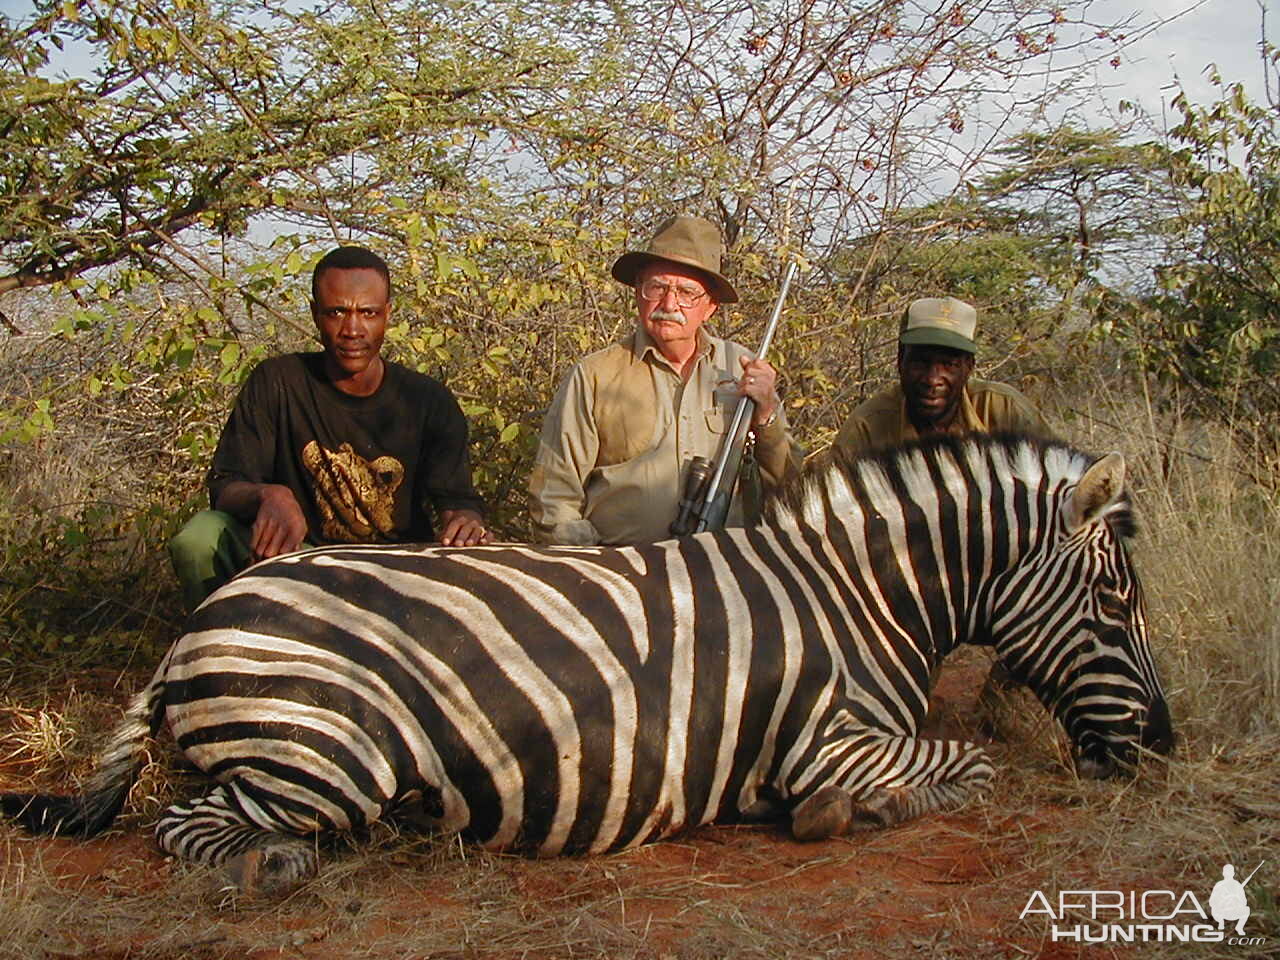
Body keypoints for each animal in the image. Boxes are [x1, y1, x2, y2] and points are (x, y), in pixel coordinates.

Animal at [0, 435, 1172, 896]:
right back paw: (274, 869)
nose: (1162, 750)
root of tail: (196, 624)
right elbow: (968, 768)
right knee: (188, 826)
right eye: (1118, 605)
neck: (851, 595)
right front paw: (852, 817)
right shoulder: (824, 743)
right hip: (325, 751)